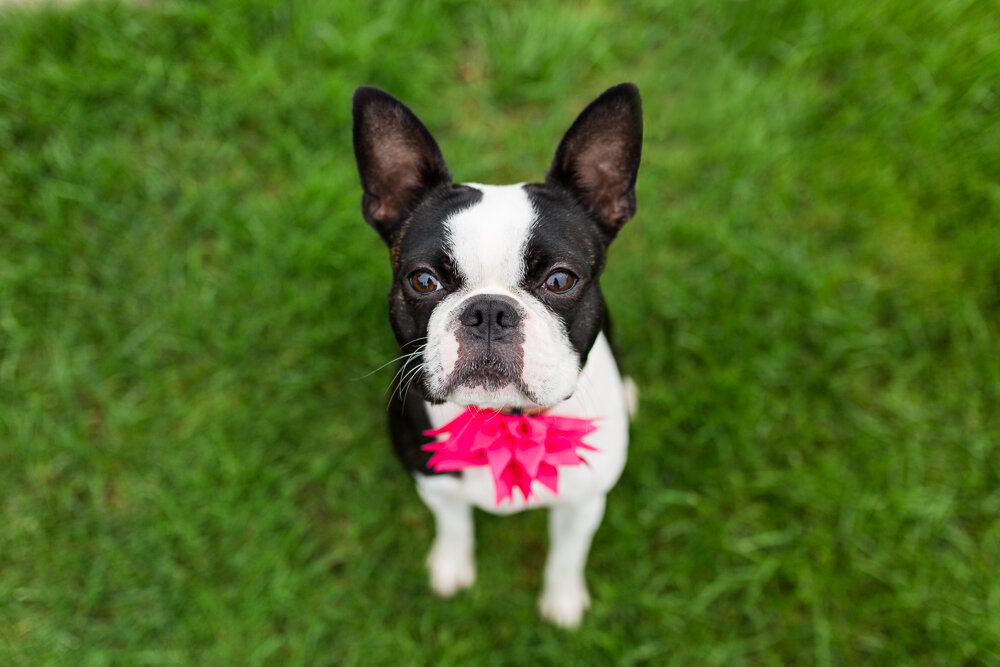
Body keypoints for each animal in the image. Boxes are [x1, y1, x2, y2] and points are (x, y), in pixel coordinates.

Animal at [352, 83, 640, 632]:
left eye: (560, 279)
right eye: (423, 280)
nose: (488, 310)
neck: (505, 424)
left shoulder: (584, 502)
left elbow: (567, 554)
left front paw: (562, 601)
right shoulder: (433, 481)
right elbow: (453, 523)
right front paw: (451, 566)